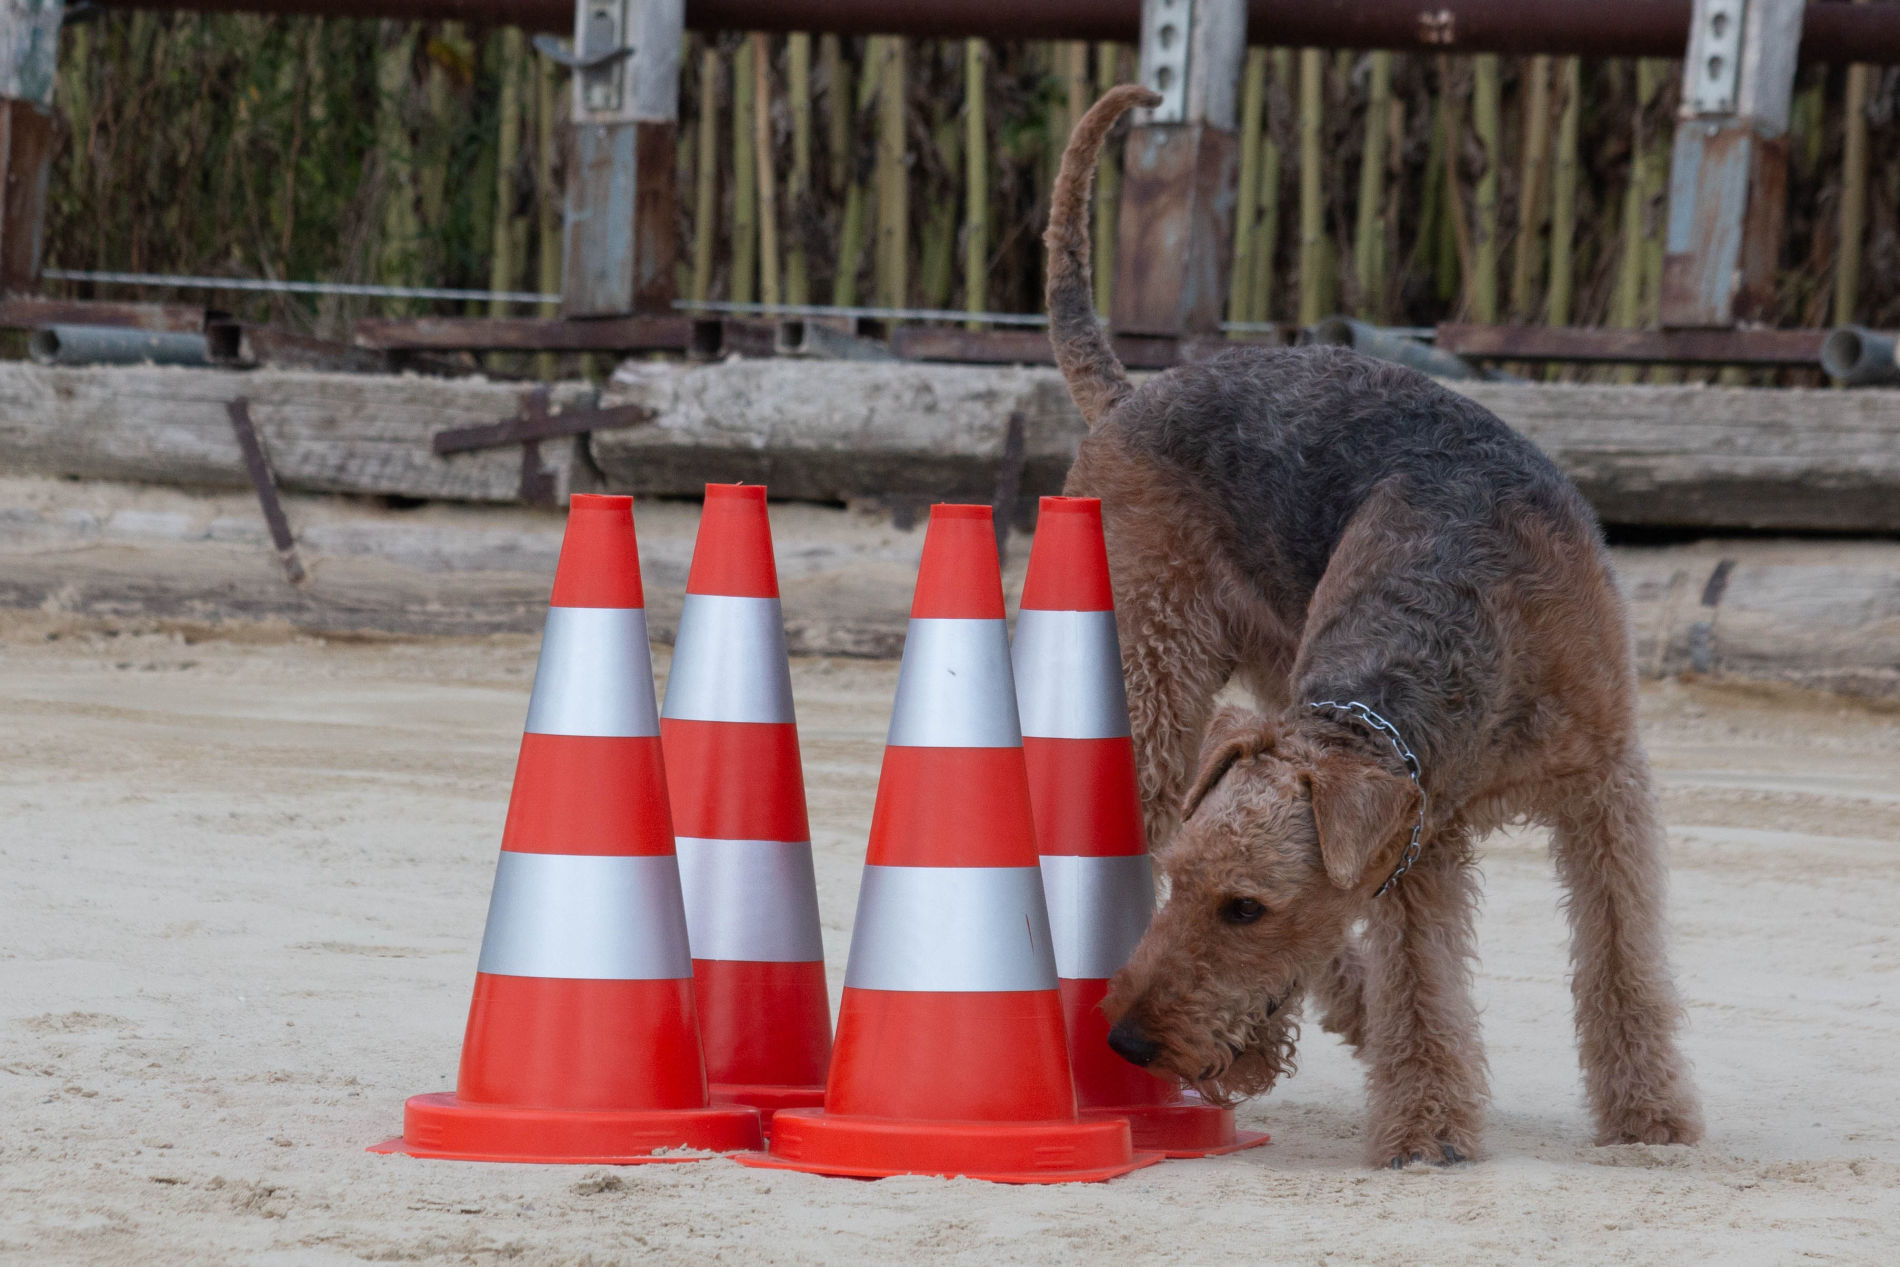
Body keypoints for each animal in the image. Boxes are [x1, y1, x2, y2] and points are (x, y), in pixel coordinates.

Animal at [1041, 81, 1710, 1170]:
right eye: (1185, 887)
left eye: (1244, 906)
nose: (1129, 1041)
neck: (1475, 622)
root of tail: (1132, 394)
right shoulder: (1419, 841)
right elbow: (1424, 985)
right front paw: (1428, 1129)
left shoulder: (1601, 786)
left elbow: (1618, 961)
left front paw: (1647, 1113)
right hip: (1155, 677)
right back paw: (1355, 1012)